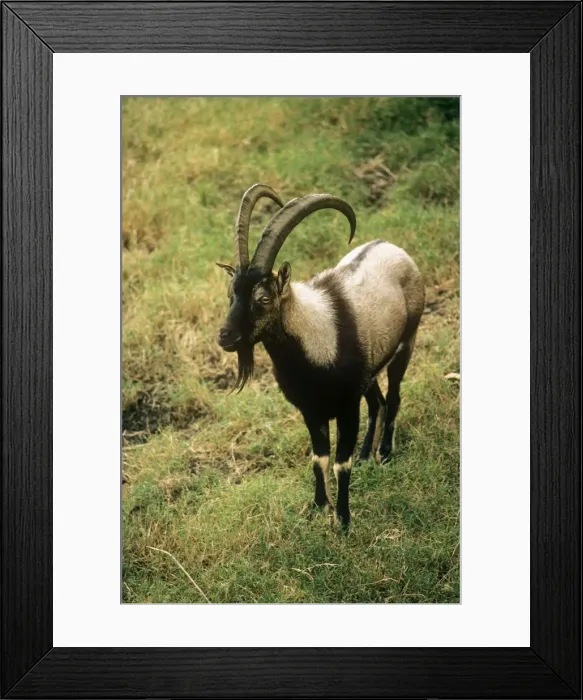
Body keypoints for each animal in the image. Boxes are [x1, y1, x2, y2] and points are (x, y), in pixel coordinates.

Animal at [217, 184, 425, 528]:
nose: (225, 336)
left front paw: (343, 520)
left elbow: (341, 463)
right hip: (368, 372)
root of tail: (391, 246)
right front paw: (318, 507)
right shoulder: (311, 410)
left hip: (406, 342)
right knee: (377, 402)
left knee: (394, 397)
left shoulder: (345, 407)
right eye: (231, 293)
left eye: (264, 298)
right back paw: (366, 454)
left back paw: (384, 453)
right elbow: (319, 458)